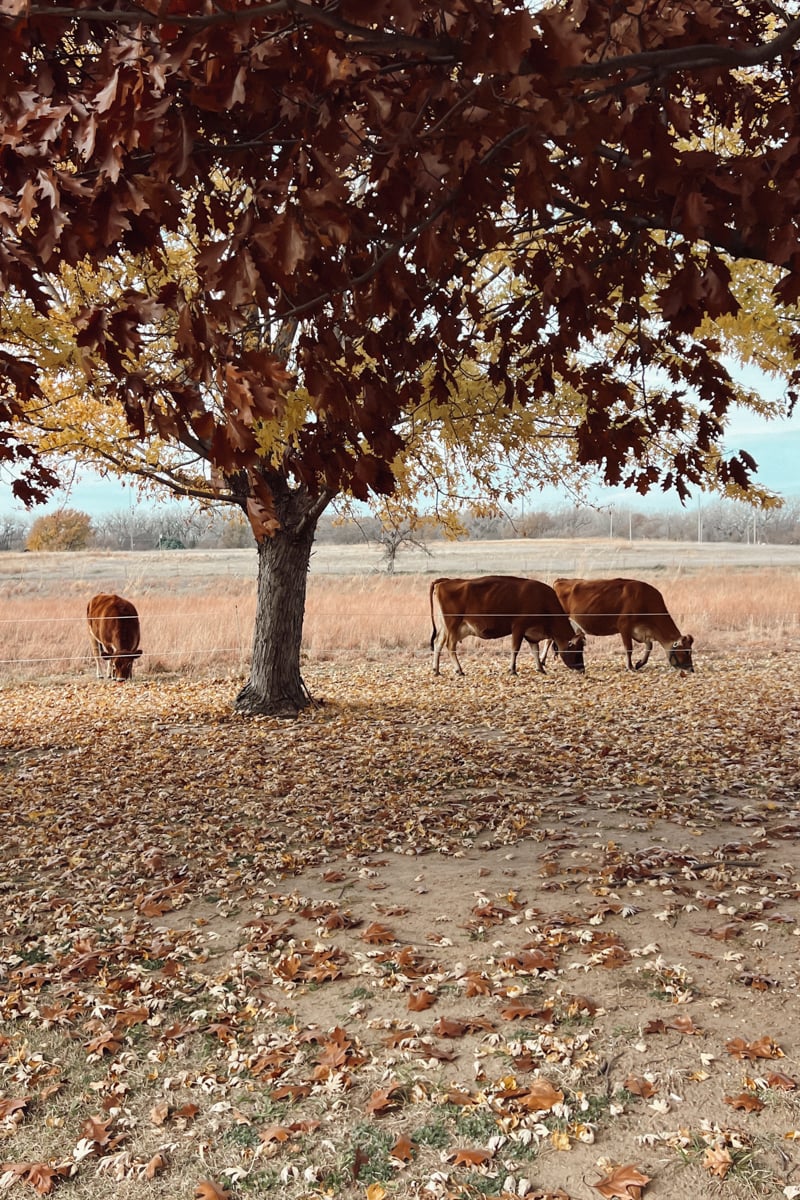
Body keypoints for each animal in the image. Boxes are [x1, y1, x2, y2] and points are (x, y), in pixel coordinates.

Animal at [430, 575, 585, 676]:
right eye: (577, 651)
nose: (582, 669)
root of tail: (445, 581)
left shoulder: (532, 634)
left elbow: (535, 650)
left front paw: (540, 668)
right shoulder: (518, 627)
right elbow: (515, 649)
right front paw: (513, 670)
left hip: (445, 627)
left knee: (438, 643)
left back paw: (436, 670)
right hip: (453, 625)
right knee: (450, 645)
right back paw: (459, 670)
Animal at [550, 577, 694, 672]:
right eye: (686, 652)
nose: (691, 669)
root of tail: (561, 580)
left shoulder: (643, 631)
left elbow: (649, 646)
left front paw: (640, 663)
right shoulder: (624, 626)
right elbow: (629, 648)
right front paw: (630, 667)